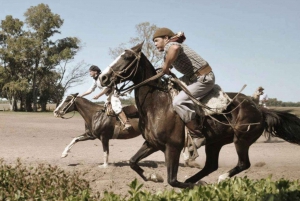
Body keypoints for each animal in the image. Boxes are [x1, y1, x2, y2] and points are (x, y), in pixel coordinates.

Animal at [99, 42, 300, 188]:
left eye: (127, 57)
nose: (103, 78)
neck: (156, 104)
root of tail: (260, 110)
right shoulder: (152, 143)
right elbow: (133, 162)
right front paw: (153, 176)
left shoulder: (172, 147)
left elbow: (172, 180)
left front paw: (186, 184)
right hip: (215, 143)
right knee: (211, 165)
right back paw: (198, 180)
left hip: (241, 140)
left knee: (243, 164)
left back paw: (220, 179)